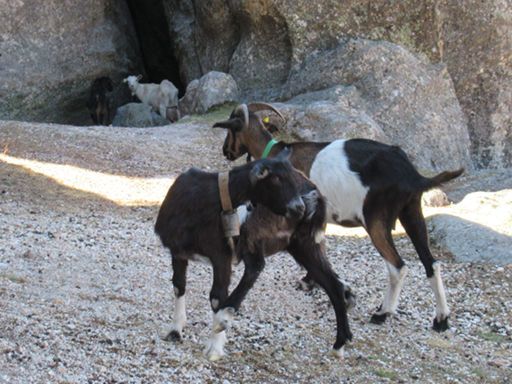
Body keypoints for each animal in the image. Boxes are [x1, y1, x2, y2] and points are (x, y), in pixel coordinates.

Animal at [155, 146, 352, 360]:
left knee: (256, 266)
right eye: (276, 179)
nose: (300, 207)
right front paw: (175, 330)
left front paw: (215, 346)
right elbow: (179, 286)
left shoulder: (221, 255)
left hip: (262, 235)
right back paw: (340, 344)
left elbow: (217, 297)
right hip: (302, 244)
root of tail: (318, 196)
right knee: (333, 285)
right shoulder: (178, 252)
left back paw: (223, 318)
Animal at [212, 103, 464, 332]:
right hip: (411, 211)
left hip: (376, 220)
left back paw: (382, 313)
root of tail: (412, 174)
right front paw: (318, 282)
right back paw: (441, 319)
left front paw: (321, 284)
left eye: (230, 130)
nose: (226, 151)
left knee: (397, 266)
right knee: (431, 263)